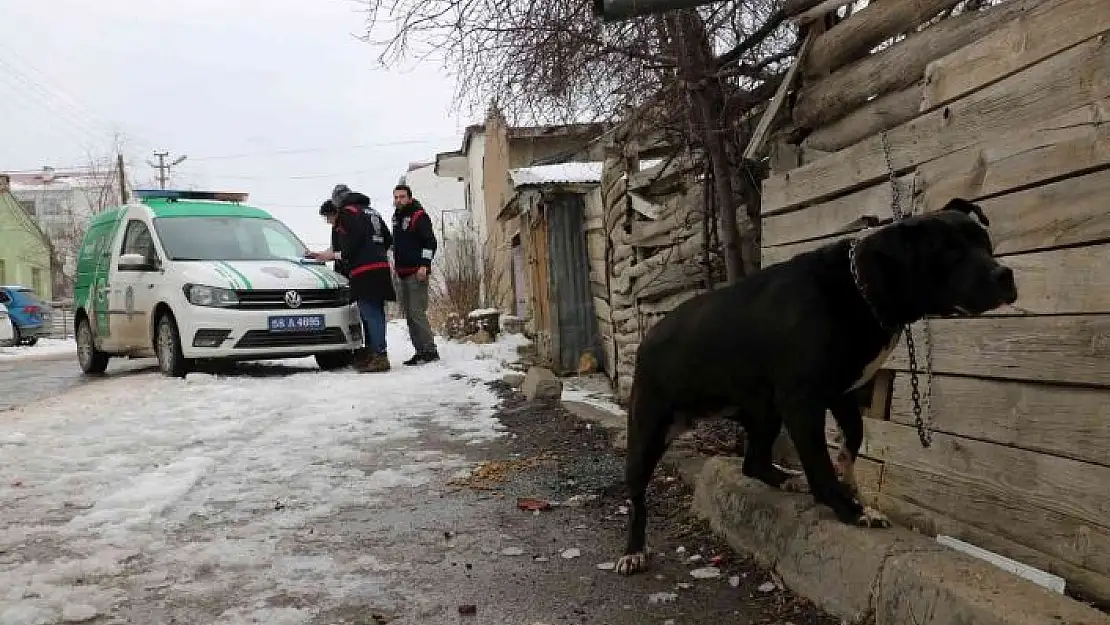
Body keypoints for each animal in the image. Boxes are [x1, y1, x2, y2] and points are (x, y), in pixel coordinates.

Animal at [617, 197, 1016, 572]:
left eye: (985, 242)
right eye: (948, 251)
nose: (1005, 274)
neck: (861, 287)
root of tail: (648, 337)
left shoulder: (841, 393)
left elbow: (852, 438)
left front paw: (850, 482)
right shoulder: (803, 401)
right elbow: (819, 465)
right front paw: (851, 510)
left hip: (764, 413)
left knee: (753, 462)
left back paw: (784, 479)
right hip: (648, 431)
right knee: (636, 497)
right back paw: (633, 551)